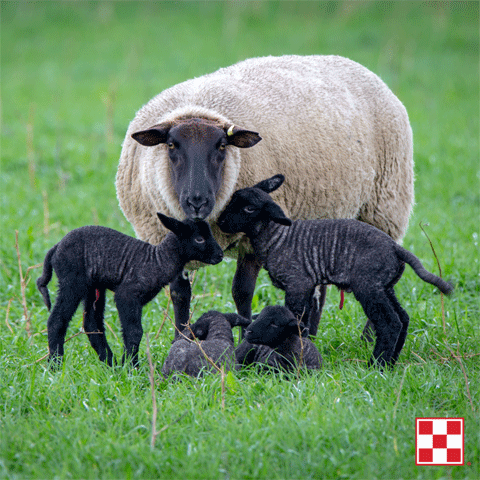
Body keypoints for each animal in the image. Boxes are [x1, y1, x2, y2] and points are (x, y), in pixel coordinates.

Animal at [36, 214, 224, 368]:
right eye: (199, 239)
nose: (220, 255)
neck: (158, 260)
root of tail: (56, 247)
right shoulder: (127, 294)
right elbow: (134, 332)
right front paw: (132, 366)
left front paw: (127, 364)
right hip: (71, 281)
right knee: (57, 320)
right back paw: (55, 365)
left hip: (94, 287)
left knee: (91, 323)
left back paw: (110, 364)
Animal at [115, 54, 412, 334]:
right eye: (171, 145)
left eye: (222, 146)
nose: (197, 201)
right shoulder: (170, 238)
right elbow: (179, 295)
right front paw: (183, 339)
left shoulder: (255, 236)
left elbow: (242, 292)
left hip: (383, 210)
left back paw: (367, 339)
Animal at [218, 175, 454, 368]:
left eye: (249, 209)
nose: (220, 222)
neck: (276, 237)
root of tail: (396, 248)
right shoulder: (307, 285)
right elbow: (305, 319)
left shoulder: (297, 283)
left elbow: (295, 316)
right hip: (385, 286)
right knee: (403, 318)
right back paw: (391, 362)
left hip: (369, 286)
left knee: (390, 323)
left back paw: (376, 365)